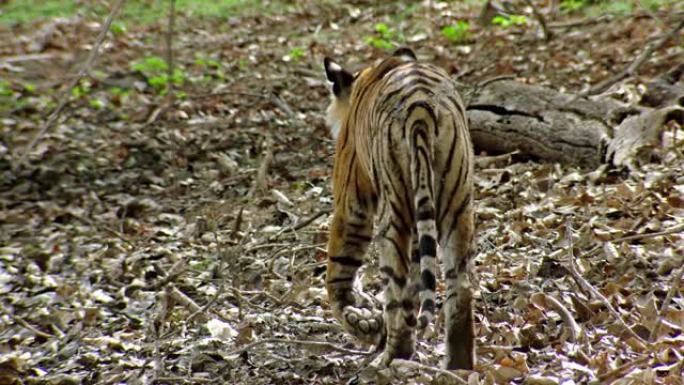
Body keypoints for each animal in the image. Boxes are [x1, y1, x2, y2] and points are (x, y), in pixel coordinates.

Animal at [322, 46, 476, 368]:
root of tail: (421, 105)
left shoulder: (351, 201)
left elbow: (337, 270)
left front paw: (361, 321)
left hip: (392, 217)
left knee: (398, 290)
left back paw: (392, 356)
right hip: (456, 204)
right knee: (460, 286)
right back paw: (458, 365)